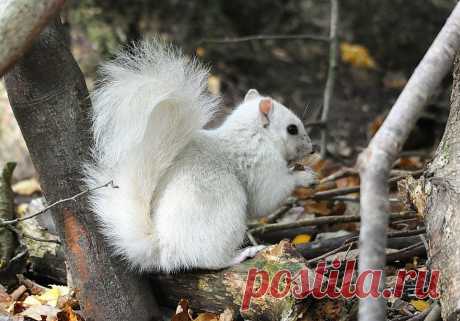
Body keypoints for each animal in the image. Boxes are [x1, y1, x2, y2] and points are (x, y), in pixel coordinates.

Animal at [84, 38, 316, 272]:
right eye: (292, 129)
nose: (312, 148)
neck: (252, 134)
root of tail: (164, 249)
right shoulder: (261, 163)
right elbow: (267, 198)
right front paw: (304, 176)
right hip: (225, 214)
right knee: (209, 260)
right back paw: (240, 254)